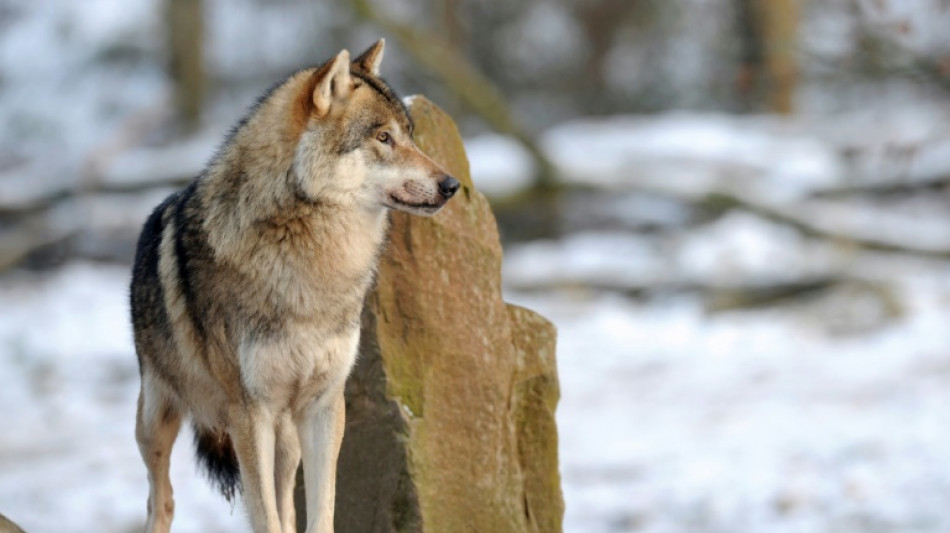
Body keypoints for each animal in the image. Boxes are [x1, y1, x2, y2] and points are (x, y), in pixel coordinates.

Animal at [129, 40, 459, 533]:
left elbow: (319, 513)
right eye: (383, 138)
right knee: (161, 499)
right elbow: (264, 519)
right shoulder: (249, 414)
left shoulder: (324, 405)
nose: (452, 184)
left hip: (287, 442)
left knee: (285, 506)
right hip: (157, 420)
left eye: (410, 134)